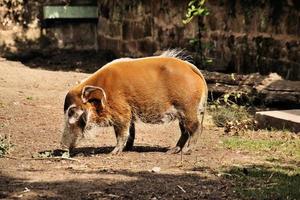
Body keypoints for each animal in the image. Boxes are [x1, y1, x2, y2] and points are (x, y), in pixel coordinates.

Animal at [60, 50, 206, 155]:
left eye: (72, 111)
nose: (62, 146)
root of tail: (191, 67)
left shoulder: (122, 113)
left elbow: (122, 133)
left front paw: (113, 152)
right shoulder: (128, 114)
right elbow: (130, 132)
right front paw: (127, 149)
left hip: (187, 108)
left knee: (196, 128)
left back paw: (187, 151)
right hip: (182, 113)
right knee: (184, 132)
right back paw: (172, 151)